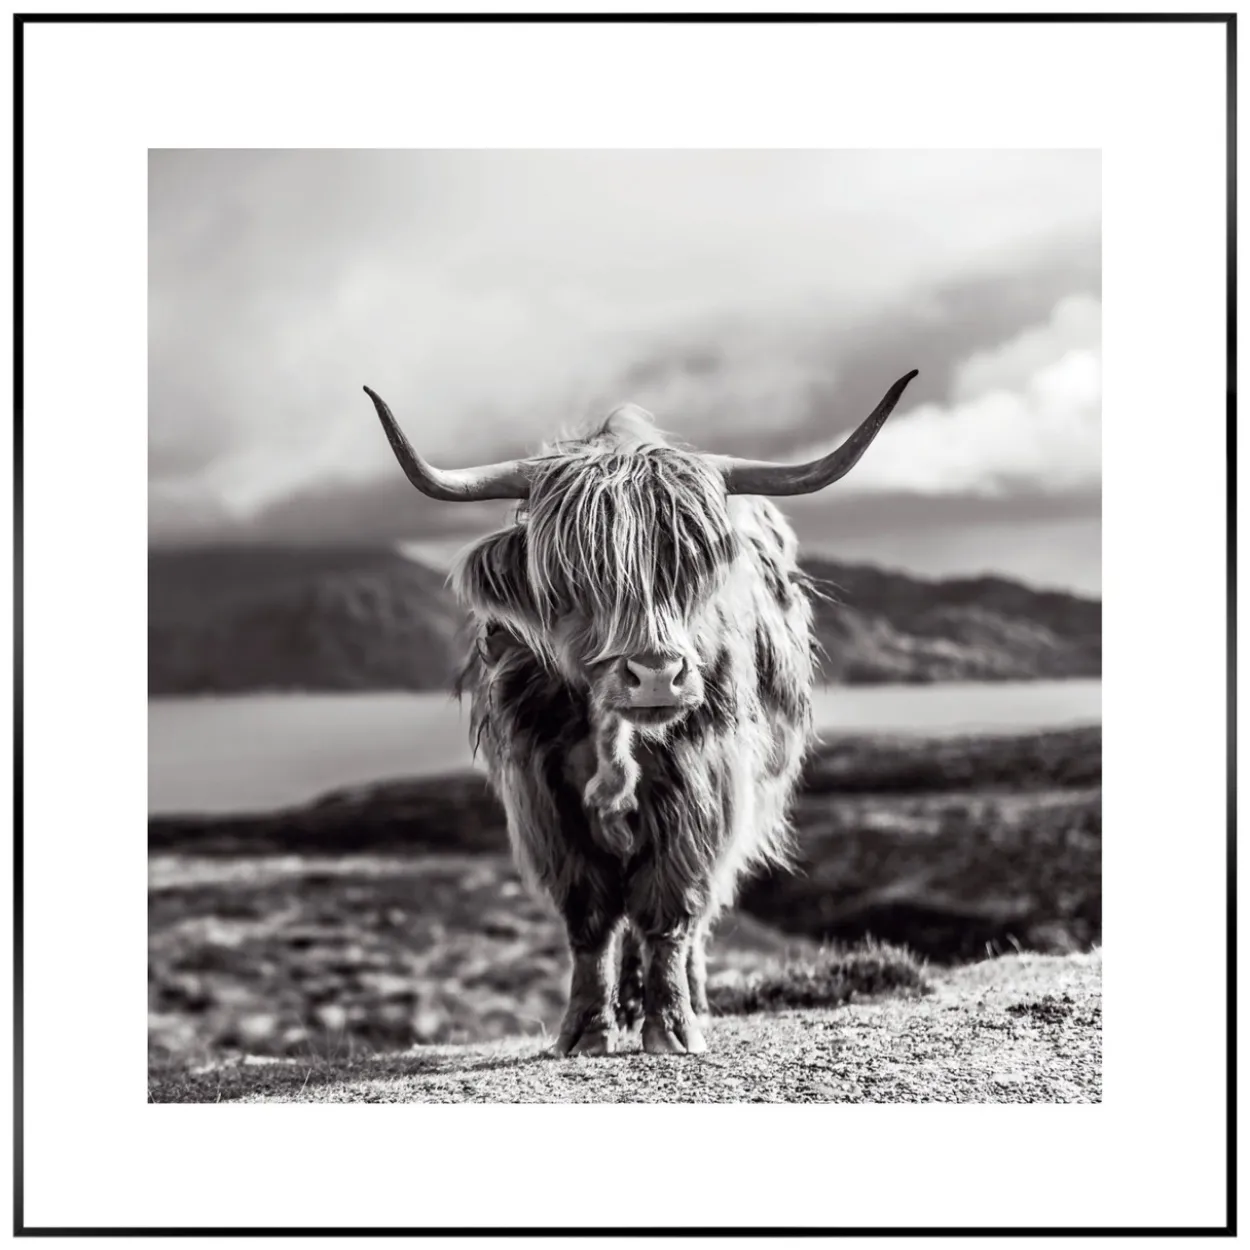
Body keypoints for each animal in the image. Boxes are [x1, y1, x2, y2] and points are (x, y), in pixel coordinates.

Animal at [363, 370, 918, 1056]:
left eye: (690, 568)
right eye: (574, 576)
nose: (657, 672)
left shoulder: (700, 787)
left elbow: (670, 909)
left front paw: (673, 1026)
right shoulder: (542, 796)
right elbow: (590, 918)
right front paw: (586, 1029)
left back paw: (690, 1000)